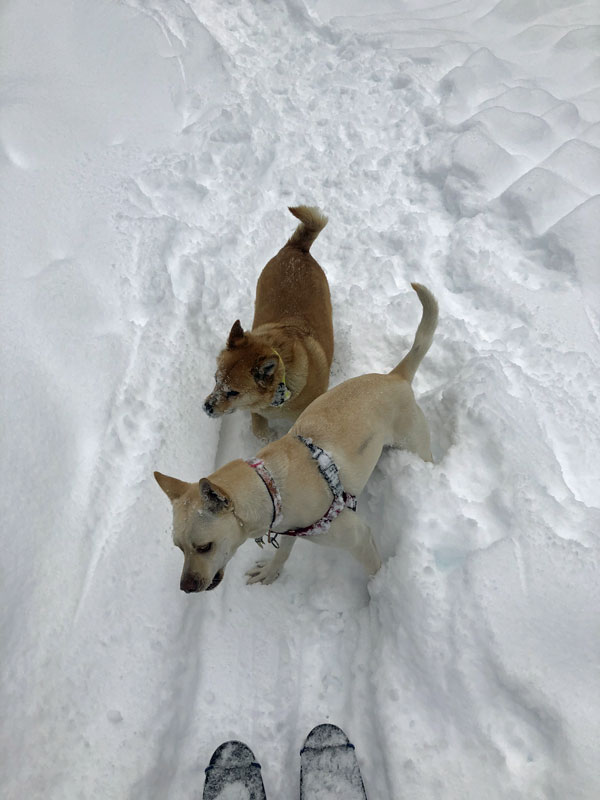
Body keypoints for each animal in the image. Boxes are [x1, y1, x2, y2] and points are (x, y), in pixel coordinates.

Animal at [155, 284, 436, 592]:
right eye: (179, 547)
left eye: (204, 547)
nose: (186, 587)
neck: (271, 487)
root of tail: (395, 376)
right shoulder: (290, 528)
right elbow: (283, 552)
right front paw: (270, 572)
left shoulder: (357, 536)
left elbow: (374, 570)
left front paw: (379, 595)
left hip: (415, 444)